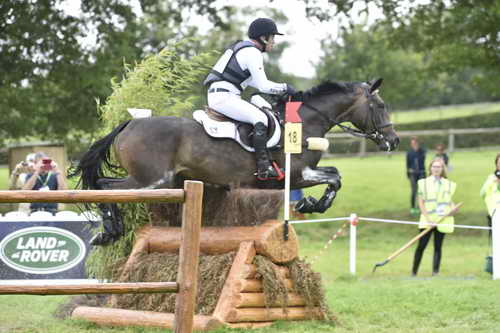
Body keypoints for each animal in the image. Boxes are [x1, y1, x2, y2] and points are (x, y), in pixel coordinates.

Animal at [72, 78, 398, 244]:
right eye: (380, 105)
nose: (393, 141)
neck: (306, 121)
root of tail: (131, 123)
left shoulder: (306, 172)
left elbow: (335, 174)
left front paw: (311, 204)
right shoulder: (298, 174)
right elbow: (335, 178)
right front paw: (310, 205)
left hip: (156, 181)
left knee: (105, 184)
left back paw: (109, 231)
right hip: (152, 181)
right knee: (106, 186)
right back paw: (110, 230)